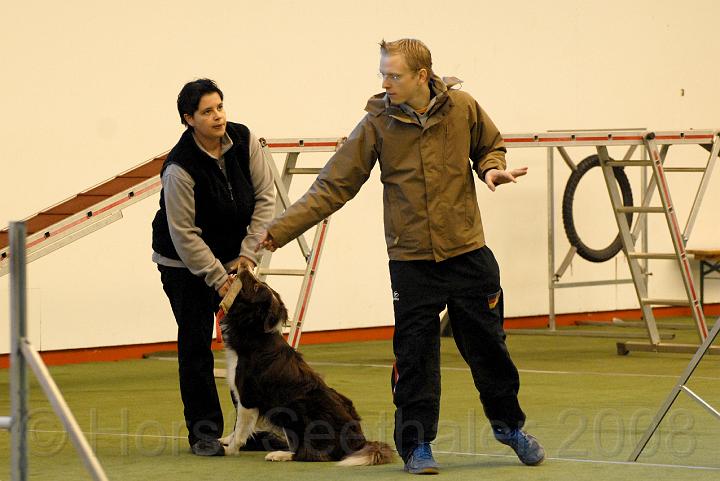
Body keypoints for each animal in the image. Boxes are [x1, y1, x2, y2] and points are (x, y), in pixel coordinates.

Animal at [219, 268, 395, 466]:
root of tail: (359, 442)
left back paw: (280, 454)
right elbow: (237, 427)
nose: (244, 267)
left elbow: (240, 428)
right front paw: (225, 440)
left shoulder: (248, 397)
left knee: (312, 454)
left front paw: (229, 449)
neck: (255, 333)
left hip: (299, 410)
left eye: (256, 285)